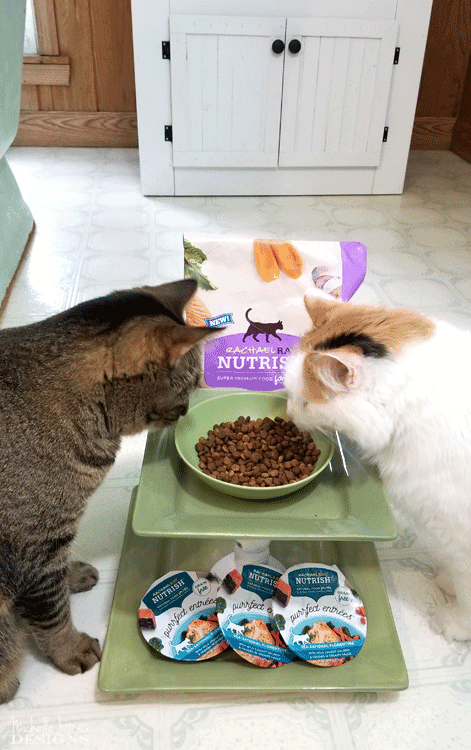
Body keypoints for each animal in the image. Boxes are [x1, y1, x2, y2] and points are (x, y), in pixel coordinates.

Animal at [0, 280, 214, 704]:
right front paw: (72, 650)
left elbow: (56, 584)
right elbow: (52, 615)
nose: (186, 412)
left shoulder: (49, 546)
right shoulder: (33, 547)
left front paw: (74, 575)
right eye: (188, 384)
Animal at [286, 290, 471, 644]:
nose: (287, 412)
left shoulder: (458, 536)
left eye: (304, 402)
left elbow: (466, 592)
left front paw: (454, 624)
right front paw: (446, 583)